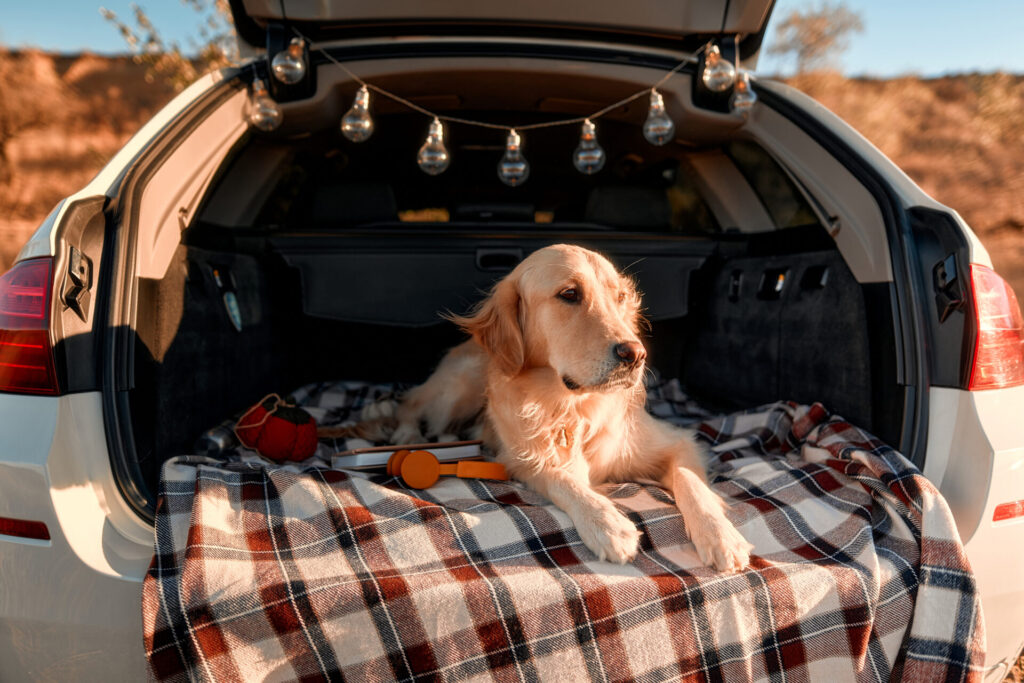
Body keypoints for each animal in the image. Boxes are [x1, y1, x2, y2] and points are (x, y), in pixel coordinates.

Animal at [387, 245, 749, 573]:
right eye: (570, 294)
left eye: (620, 297)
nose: (636, 354)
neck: (574, 408)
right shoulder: (521, 460)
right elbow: (563, 480)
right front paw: (607, 524)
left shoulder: (679, 441)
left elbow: (692, 484)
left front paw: (721, 536)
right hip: (461, 383)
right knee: (411, 403)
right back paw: (406, 435)